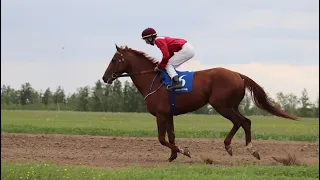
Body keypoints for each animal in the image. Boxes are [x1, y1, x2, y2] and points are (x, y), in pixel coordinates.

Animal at [102, 44, 298, 162]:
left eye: (113, 60)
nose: (104, 77)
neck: (153, 80)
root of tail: (238, 74)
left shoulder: (161, 114)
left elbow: (161, 139)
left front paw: (185, 151)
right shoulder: (169, 114)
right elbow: (171, 136)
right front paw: (172, 157)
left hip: (222, 105)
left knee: (243, 122)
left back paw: (250, 149)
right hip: (231, 105)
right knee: (242, 122)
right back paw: (231, 147)